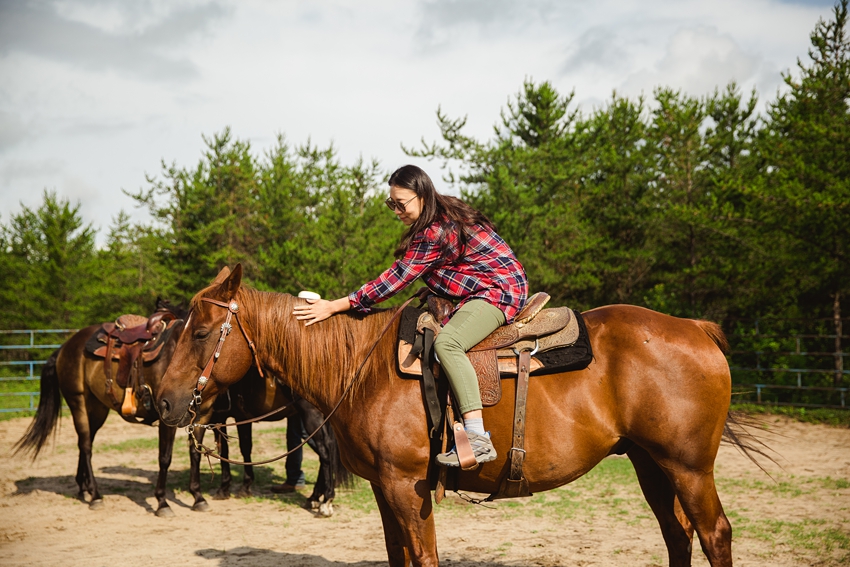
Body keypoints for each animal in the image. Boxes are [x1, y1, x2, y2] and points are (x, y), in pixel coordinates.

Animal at [156, 268, 740, 567]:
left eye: (200, 333)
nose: (162, 400)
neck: (361, 366)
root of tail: (695, 328)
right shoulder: (385, 489)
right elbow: (399, 556)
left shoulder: (406, 486)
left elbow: (424, 557)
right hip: (650, 464)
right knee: (677, 535)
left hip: (688, 467)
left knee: (714, 534)